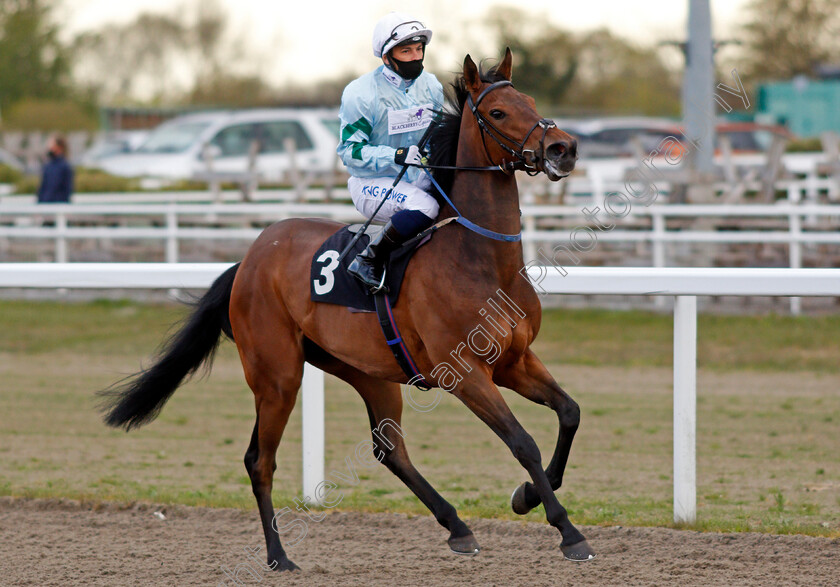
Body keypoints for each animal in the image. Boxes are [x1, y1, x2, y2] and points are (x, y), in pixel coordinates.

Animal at [100, 48, 596, 572]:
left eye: (531, 101)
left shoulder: (514, 361)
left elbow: (569, 412)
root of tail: (250, 259)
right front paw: (568, 531)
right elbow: (523, 441)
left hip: (366, 370)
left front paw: (527, 496)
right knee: (260, 460)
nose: (563, 148)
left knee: (389, 449)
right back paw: (278, 556)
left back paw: (457, 526)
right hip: (277, 376)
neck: (479, 259)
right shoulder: (466, 374)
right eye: (498, 112)